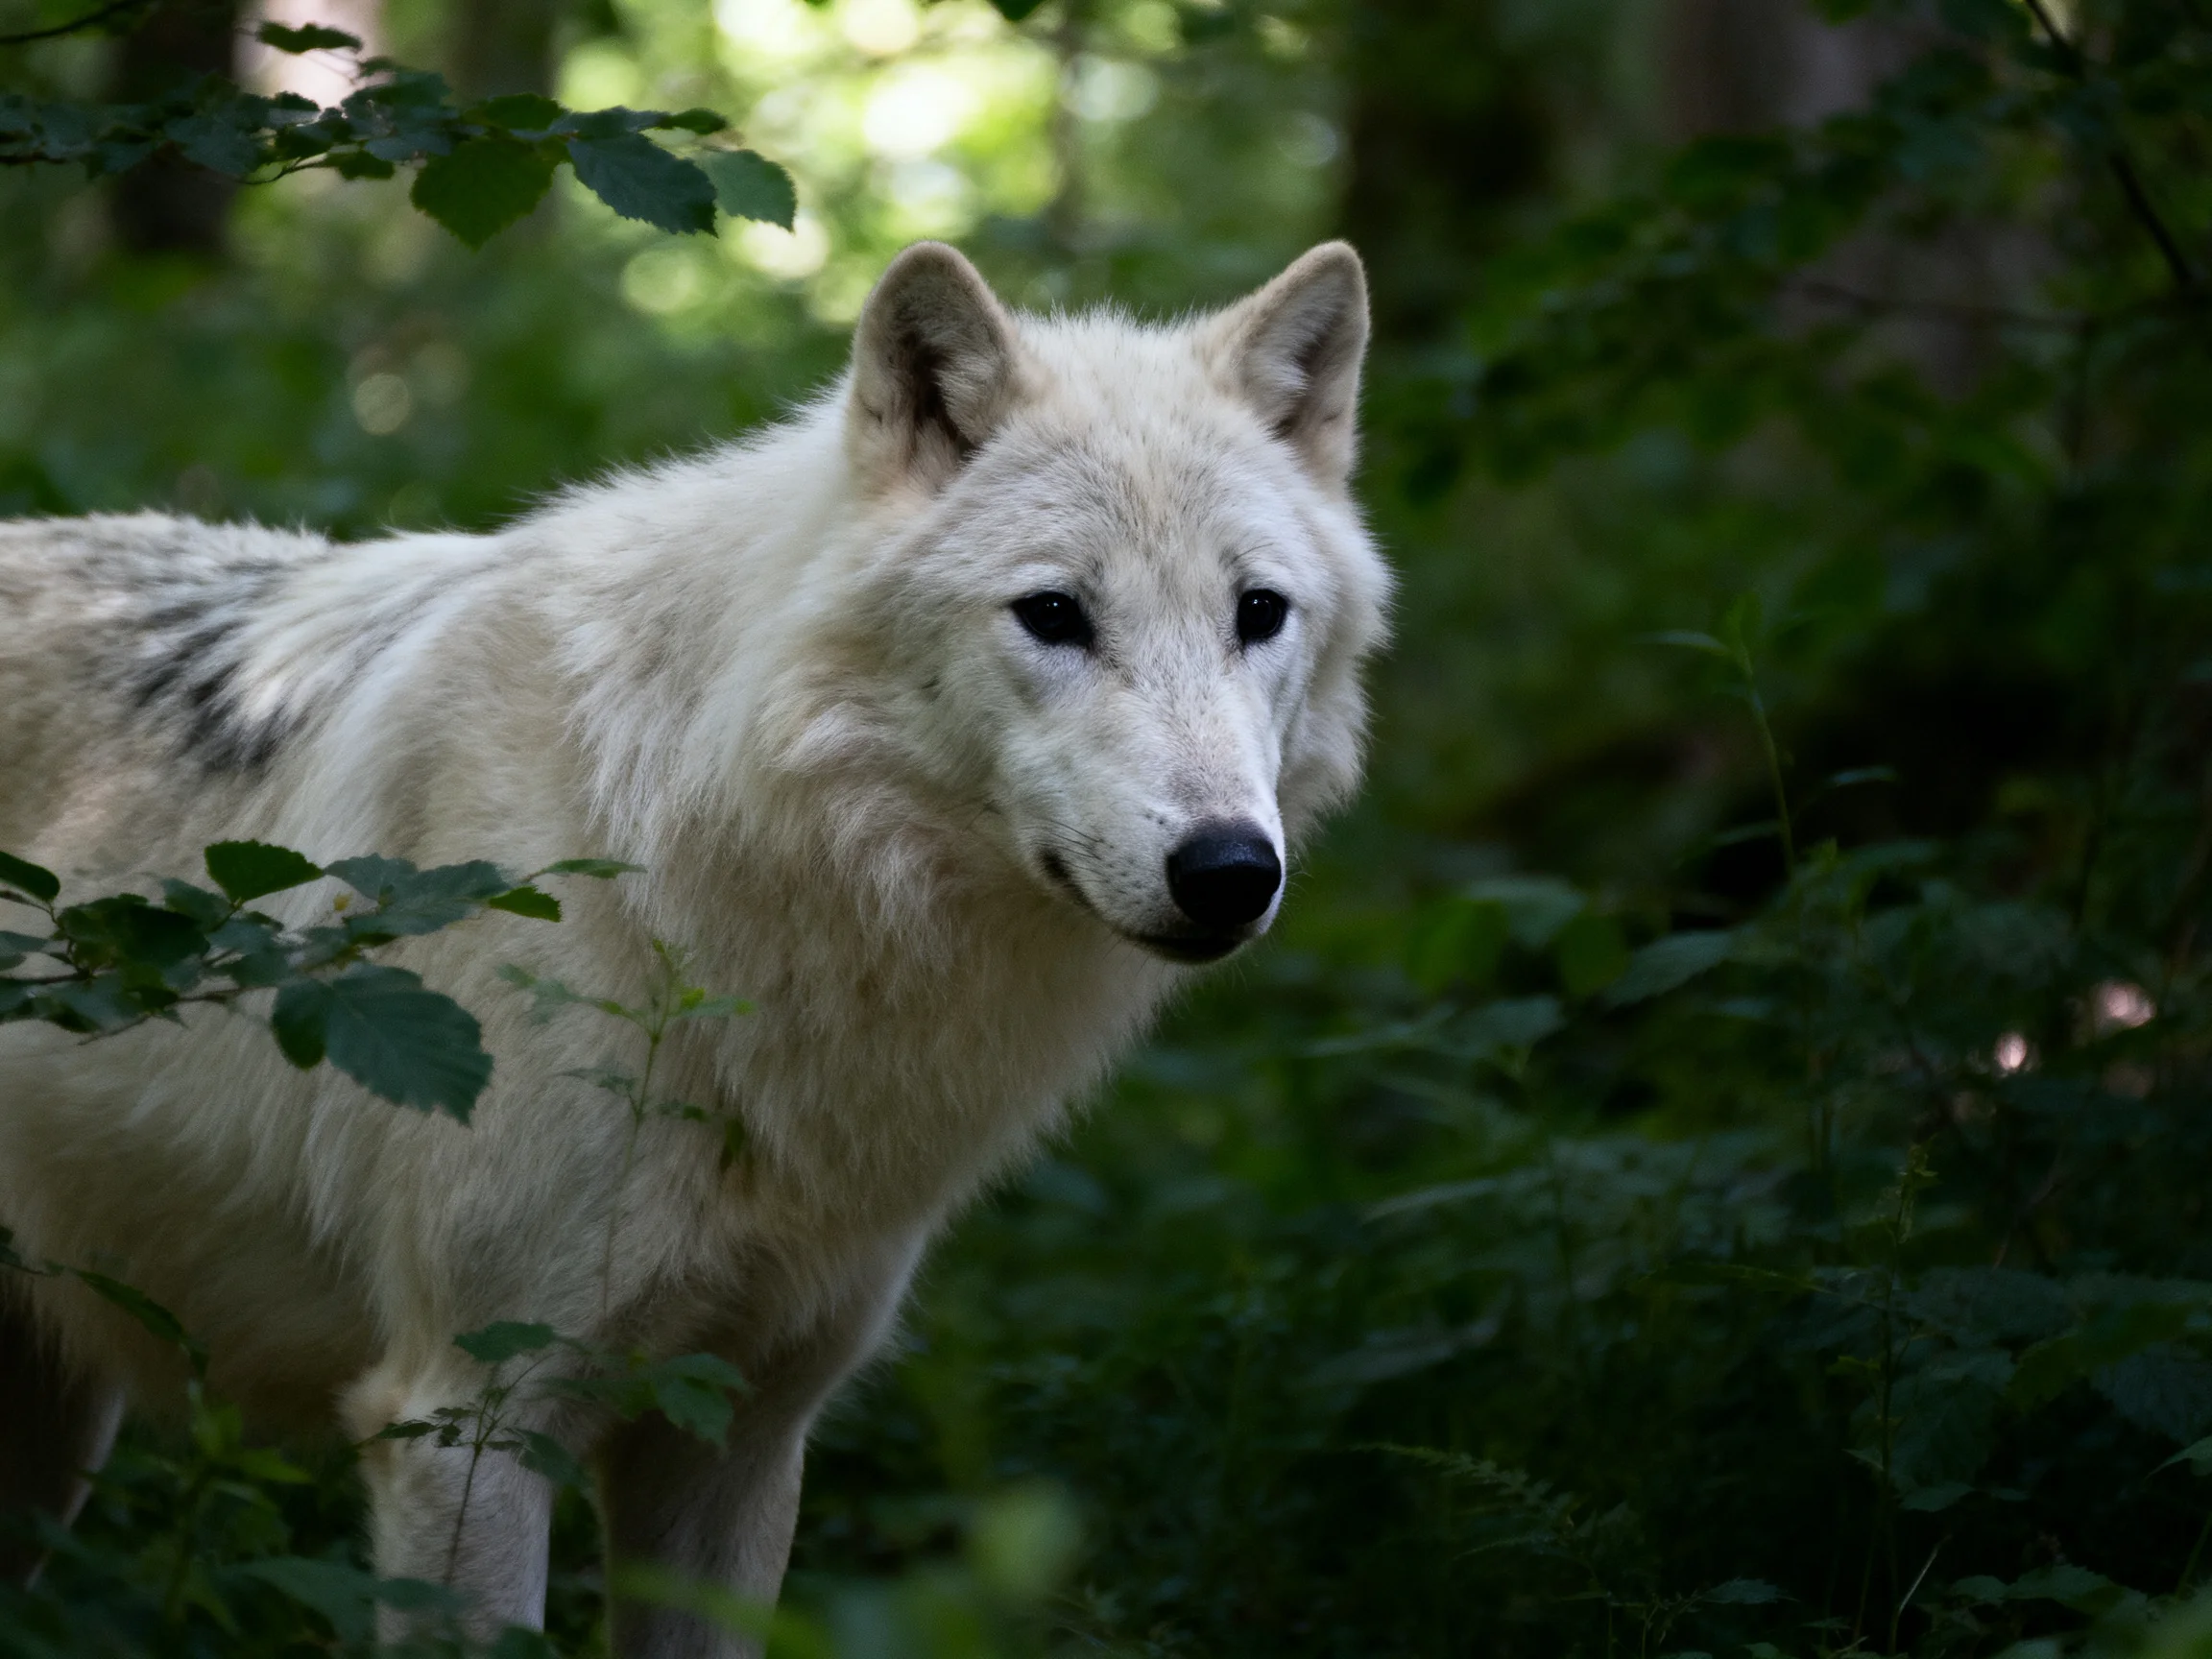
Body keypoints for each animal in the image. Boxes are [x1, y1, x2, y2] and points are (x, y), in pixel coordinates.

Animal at [0, 240, 1386, 1652]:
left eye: (1257, 612)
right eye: (1053, 613)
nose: (1230, 871)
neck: (673, 860)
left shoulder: (739, 1438)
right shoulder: (461, 1427)